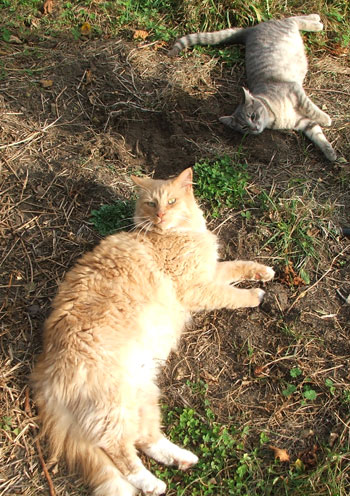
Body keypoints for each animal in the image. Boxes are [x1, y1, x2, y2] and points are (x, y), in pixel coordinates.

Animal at [31, 169, 274, 494]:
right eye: (150, 203)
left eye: (171, 201)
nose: (160, 216)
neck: (176, 234)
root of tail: (43, 372)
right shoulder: (199, 287)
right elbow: (232, 294)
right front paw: (255, 295)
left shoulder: (210, 272)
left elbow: (237, 266)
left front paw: (264, 272)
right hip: (113, 407)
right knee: (119, 450)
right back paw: (152, 483)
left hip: (143, 393)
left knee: (145, 439)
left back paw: (183, 459)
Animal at [168, 15, 338, 161]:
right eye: (244, 127)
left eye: (253, 116)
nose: (254, 128)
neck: (275, 117)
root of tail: (250, 30)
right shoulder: (302, 122)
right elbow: (318, 134)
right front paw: (331, 153)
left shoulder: (295, 91)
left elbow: (312, 109)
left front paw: (326, 119)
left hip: (286, 27)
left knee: (294, 19)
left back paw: (316, 21)